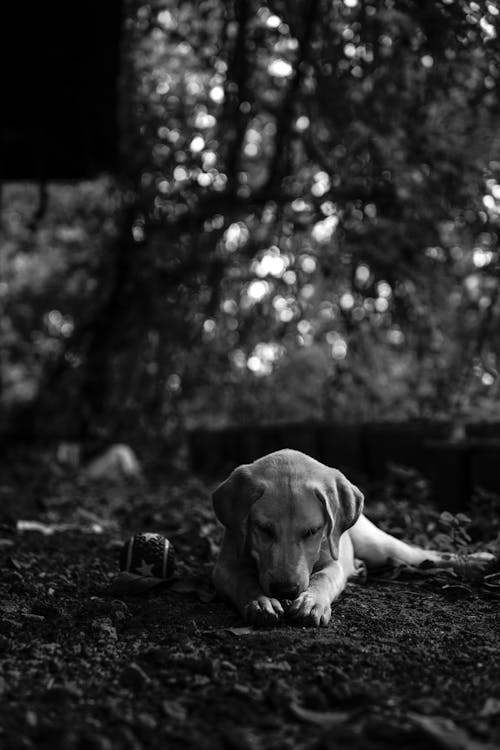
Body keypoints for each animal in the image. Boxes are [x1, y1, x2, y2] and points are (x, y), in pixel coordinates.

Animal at [211, 450, 492, 624]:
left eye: (312, 531)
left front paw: (312, 602)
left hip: (382, 547)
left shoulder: (333, 563)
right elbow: (243, 581)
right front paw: (260, 602)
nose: (285, 590)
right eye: (264, 529)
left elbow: (323, 577)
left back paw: (480, 561)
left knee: (430, 555)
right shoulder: (225, 565)